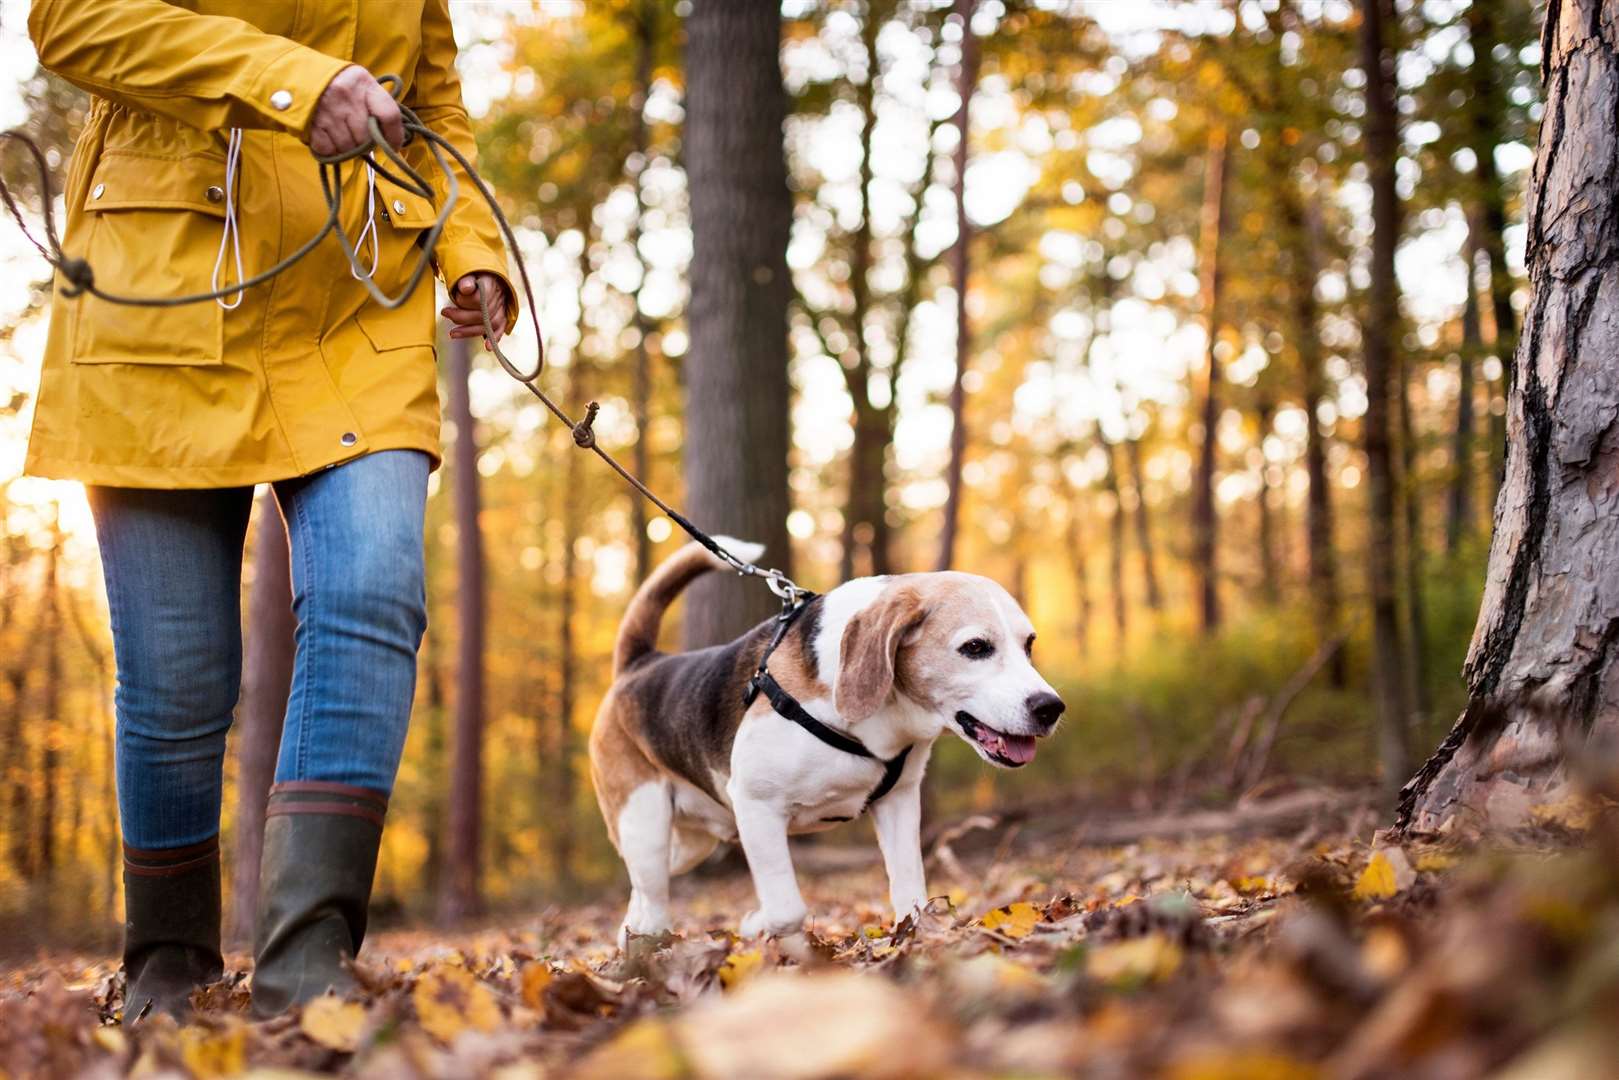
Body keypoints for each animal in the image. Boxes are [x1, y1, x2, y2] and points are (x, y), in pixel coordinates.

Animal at [589, 537, 1068, 939]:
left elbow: (911, 893)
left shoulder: (899, 803)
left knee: (642, 893)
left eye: (1029, 644)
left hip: (690, 843)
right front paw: (757, 924)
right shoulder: (757, 806)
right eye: (975, 647)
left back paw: (633, 941)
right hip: (644, 824)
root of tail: (640, 663)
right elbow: (786, 909)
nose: (1050, 707)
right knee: (653, 894)